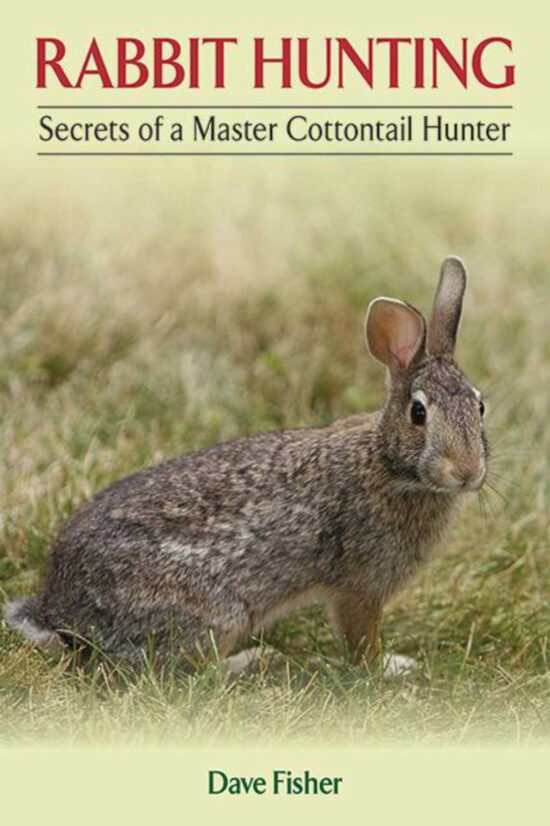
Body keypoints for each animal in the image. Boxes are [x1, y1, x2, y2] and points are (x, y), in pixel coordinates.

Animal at [4, 256, 488, 667]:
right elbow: (359, 640)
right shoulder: (361, 586)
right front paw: (387, 668)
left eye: (480, 406)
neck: (386, 463)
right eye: (418, 414)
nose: (466, 472)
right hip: (218, 614)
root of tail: (56, 611)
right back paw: (254, 661)